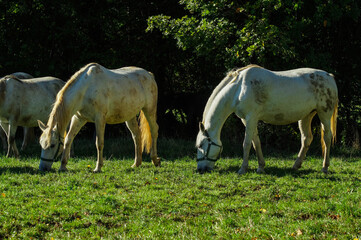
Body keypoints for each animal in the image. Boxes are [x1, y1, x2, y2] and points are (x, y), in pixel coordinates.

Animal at [195, 65, 336, 174]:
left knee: (327, 138)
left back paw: (325, 168)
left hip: (324, 114)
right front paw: (261, 167)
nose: (200, 170)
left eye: (201, 145)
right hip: (306, 116)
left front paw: (242, 169)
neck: (239, 88)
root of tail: (329, 76)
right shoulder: (247, 120)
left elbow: (246, 144)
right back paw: (296, 165)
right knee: (306, 138)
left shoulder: (251, 118)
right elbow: (256, 142)